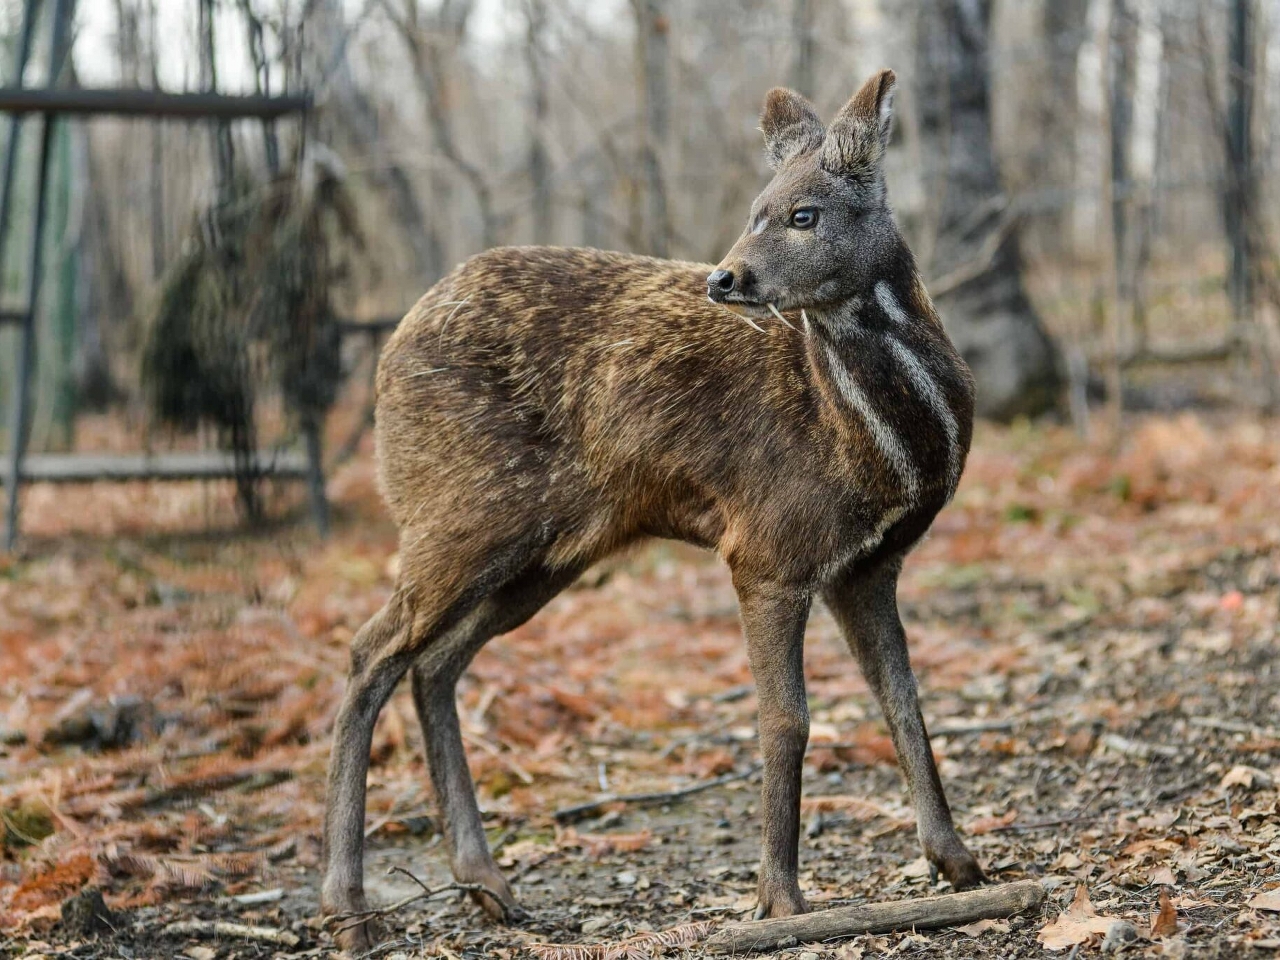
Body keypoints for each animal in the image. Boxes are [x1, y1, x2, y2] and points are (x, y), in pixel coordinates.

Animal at [320, 69, 977, 957]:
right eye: (756, 207)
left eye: (804, 213)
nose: (726, 279)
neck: (881, 446)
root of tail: (389, 350)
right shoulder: (767, 547)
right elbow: (787, 720)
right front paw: (780, 899)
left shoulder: (868, 565)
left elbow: (903, 701)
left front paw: (956, 860)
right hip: (457, 515)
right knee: (370, 651)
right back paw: (350, 906)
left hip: (546, 551)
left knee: (433, 663)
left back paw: (487, 884)